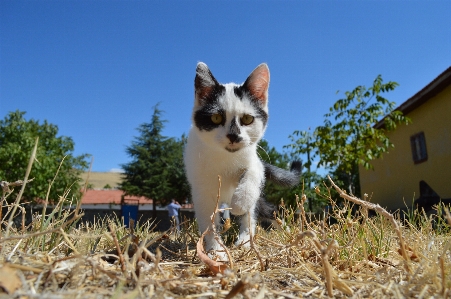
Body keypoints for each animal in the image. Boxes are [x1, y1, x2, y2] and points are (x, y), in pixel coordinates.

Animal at [185, 63, 302, 260]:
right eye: (216, 118)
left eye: (247, 119)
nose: (233, 136)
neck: (225, 157)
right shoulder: (201, 189)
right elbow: (209, 220)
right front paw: (216, 250)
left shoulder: (255, 161)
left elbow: (252, 173)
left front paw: (240, 203)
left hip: (259, 197)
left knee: (264, 211)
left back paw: (252, 238)